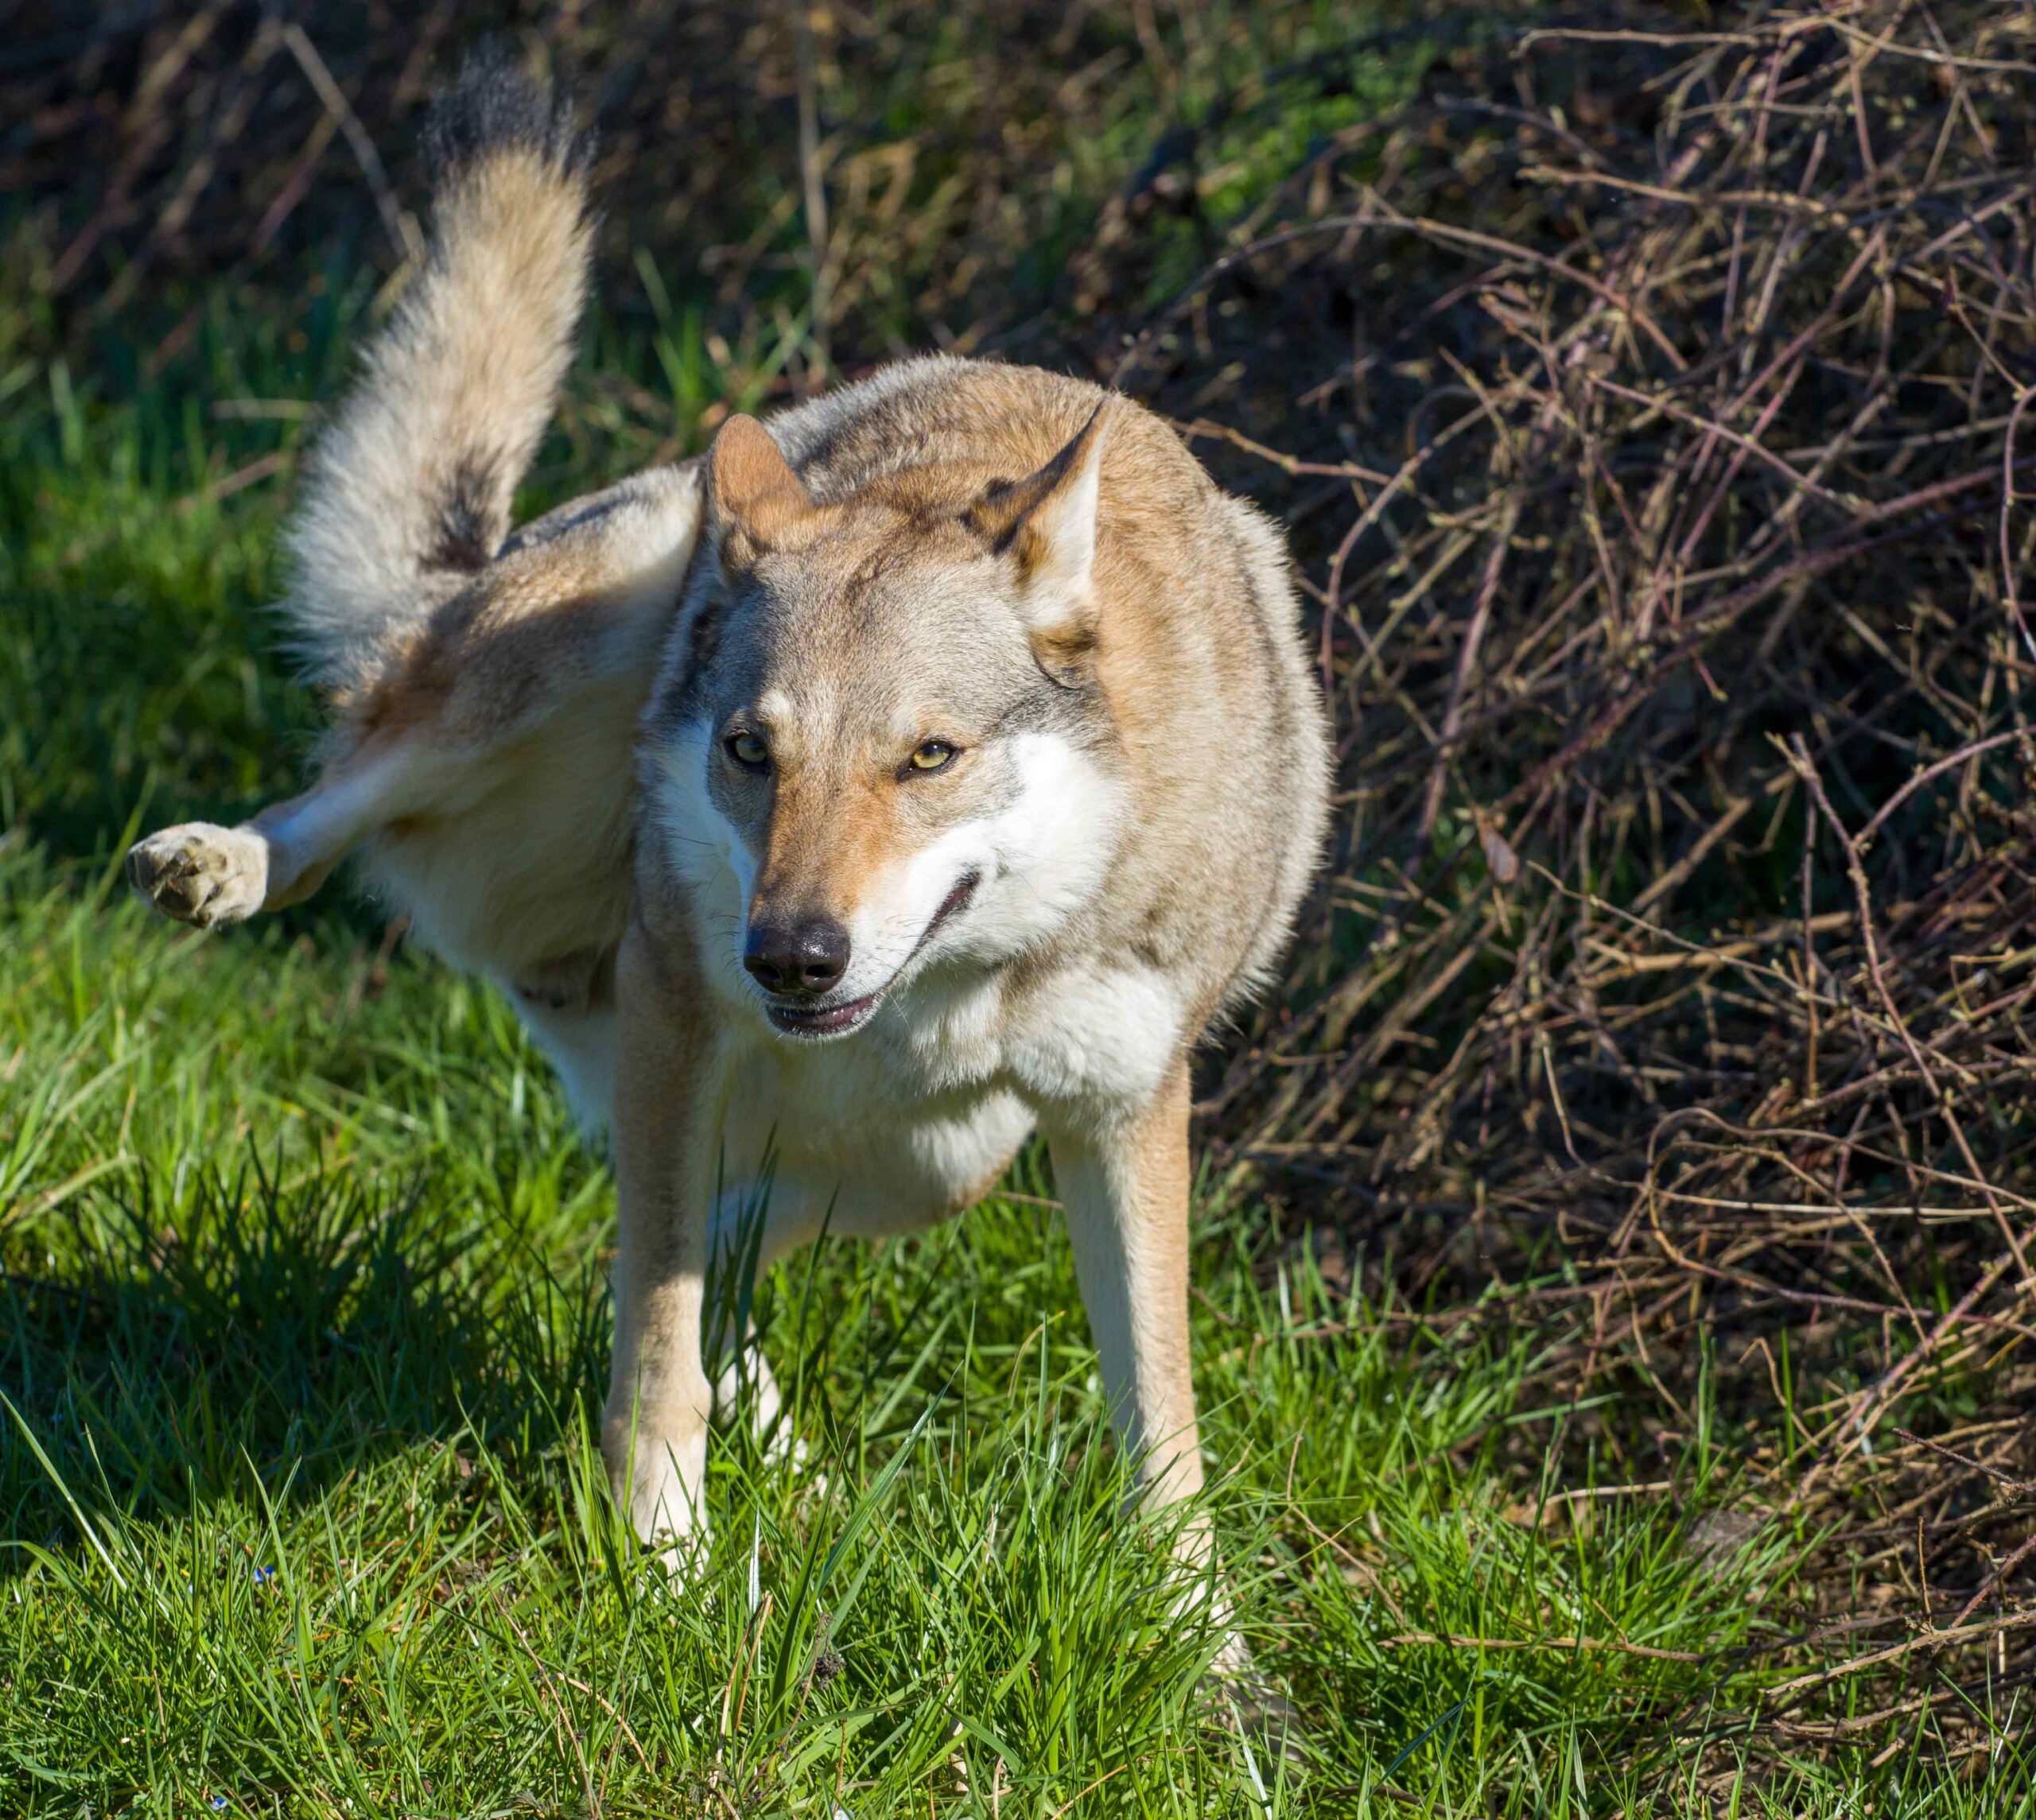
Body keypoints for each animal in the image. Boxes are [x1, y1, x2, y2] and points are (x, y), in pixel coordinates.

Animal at [127, 54, 1330, 1603]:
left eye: (928, 757)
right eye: (754, 751)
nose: (793, 958)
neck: (958, 991)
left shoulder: (1124, 1108)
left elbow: (1162, 1432)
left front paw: (1202, 1644)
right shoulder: (678, 1012)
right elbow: (655, 1339)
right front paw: (664, 1562)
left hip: (925, 1169)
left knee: (717, 1247)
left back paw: (806, 1478)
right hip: (577, 637)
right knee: (350, 775)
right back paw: (216, 862)